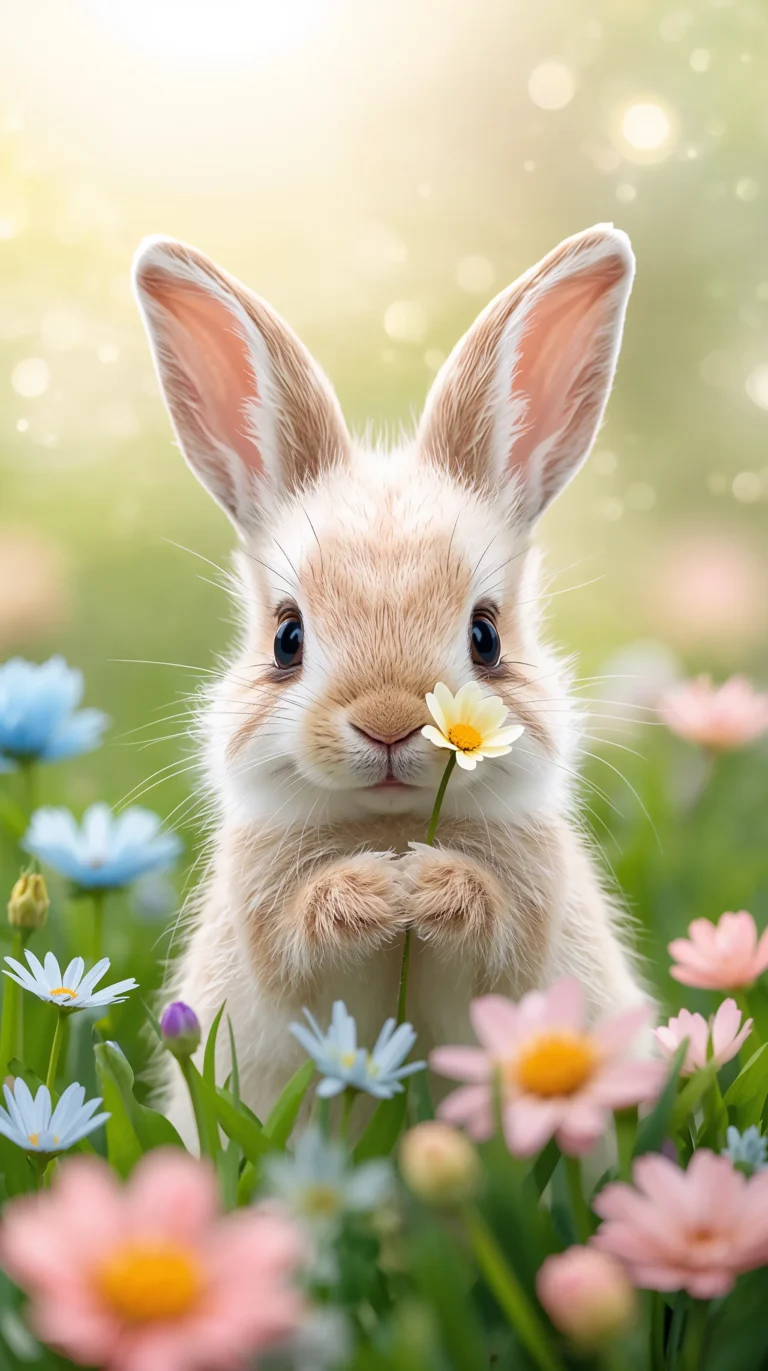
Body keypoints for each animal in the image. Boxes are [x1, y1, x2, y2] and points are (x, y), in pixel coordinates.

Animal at [132, 223, 652, 1143]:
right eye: (288, 637)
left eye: (486, 635)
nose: (387, 724)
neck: (398, 815)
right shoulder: (271, 935)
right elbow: (302, 941)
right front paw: (376, 890)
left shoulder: (528, 928)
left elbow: (498, 934)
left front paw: (431, 885)